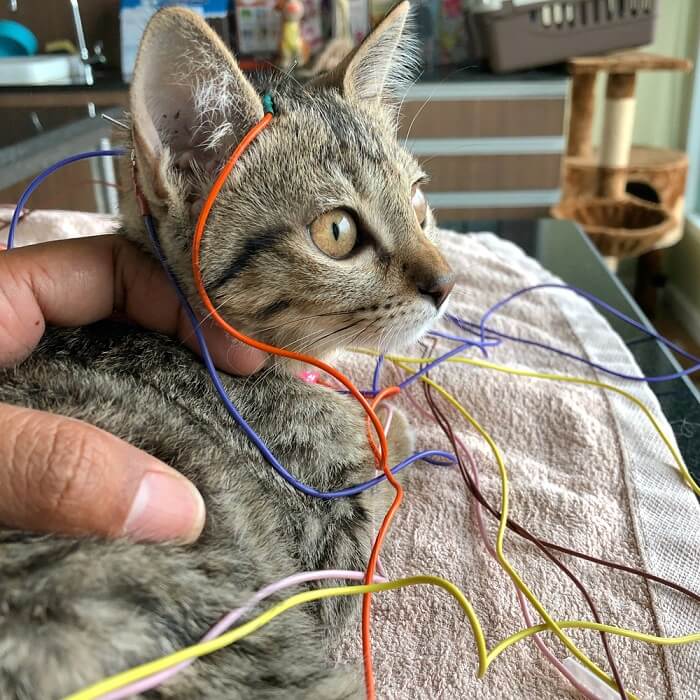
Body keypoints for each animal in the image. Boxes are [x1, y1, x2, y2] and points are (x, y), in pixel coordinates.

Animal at [0, 2, 454, 696]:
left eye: (419, 200)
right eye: (337, 232)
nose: (447, 284)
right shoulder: (329, 550)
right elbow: (378, 471)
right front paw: (386, 421)